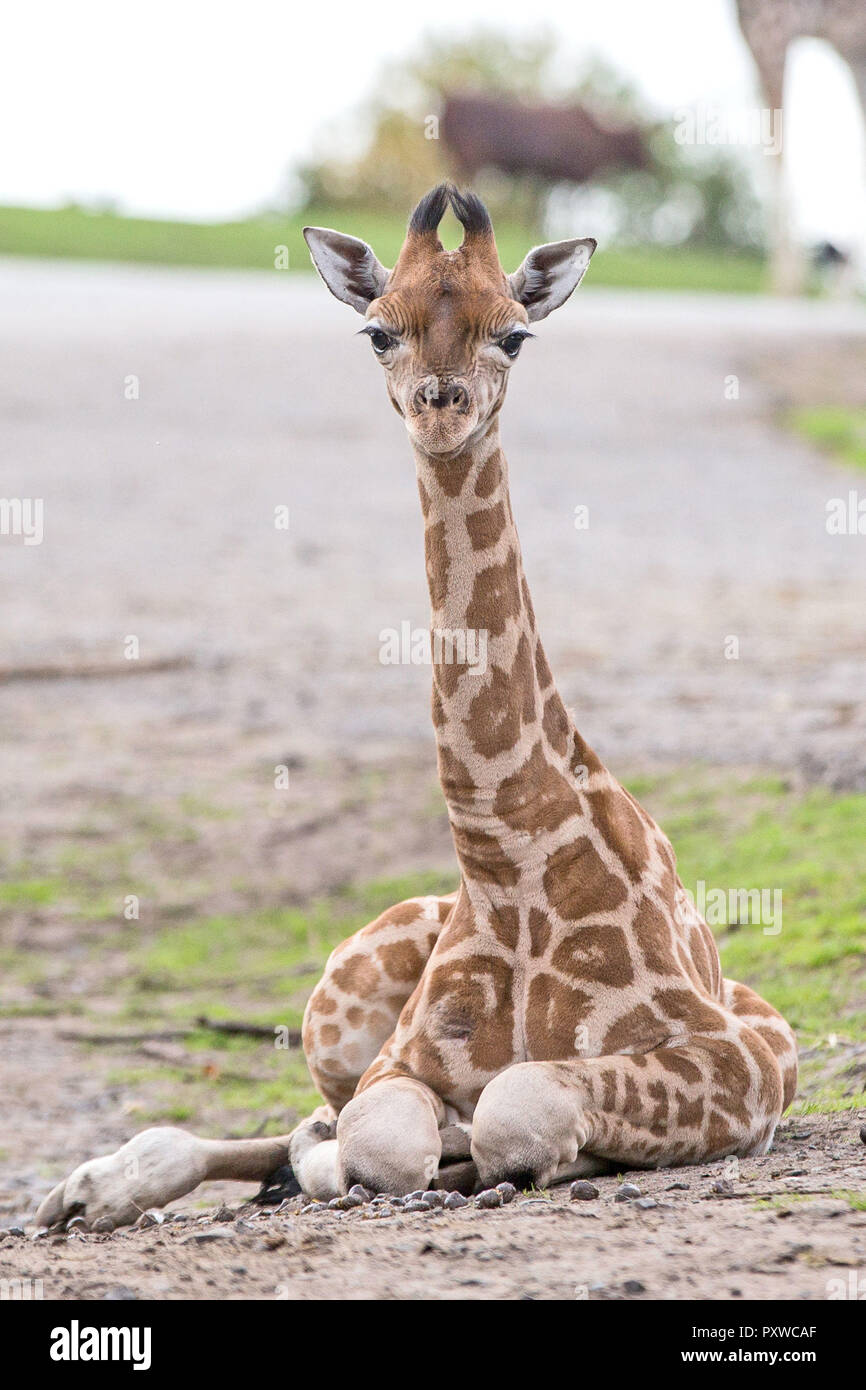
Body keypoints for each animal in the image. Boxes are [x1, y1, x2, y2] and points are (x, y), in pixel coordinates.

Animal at [38, 187, 800, 1228]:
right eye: (377, 331)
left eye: (515, 333)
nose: (443, 404)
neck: (508, 857)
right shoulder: (396, 1063)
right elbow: (380, 1138)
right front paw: (389, 1156)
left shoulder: (739, 1060)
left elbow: (515, 1106)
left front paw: (505, 1152)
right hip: (331, 1006)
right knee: (299, 1114)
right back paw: (89, 1189)